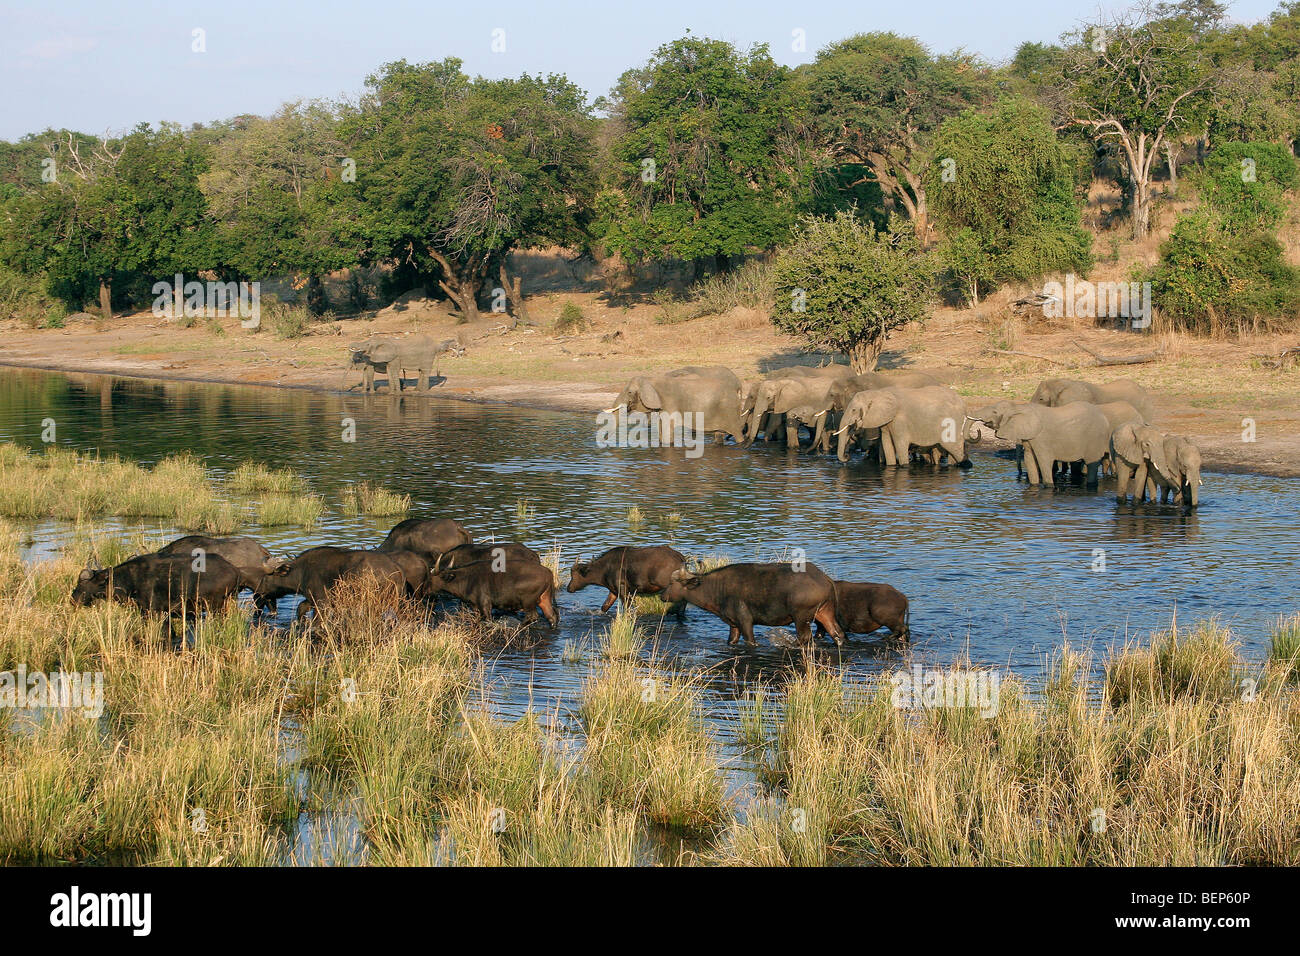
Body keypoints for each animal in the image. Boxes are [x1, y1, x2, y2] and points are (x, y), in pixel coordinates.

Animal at [606, 366, 746, 444]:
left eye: (629, 392)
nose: (606, 439)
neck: (651, 380)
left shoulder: (670, 403)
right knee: (719, 435)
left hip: (730, 411)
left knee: (738, 435)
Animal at [833, 386, 970, 467]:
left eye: (854, 410)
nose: (847, 457)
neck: (878, 392)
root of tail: (963, 403)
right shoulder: (886, 421)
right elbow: (887, 444)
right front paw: (891, 466)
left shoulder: (900, 421)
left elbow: (900, 444)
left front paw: (904, 466)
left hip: (953, 423)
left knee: (954, 447)